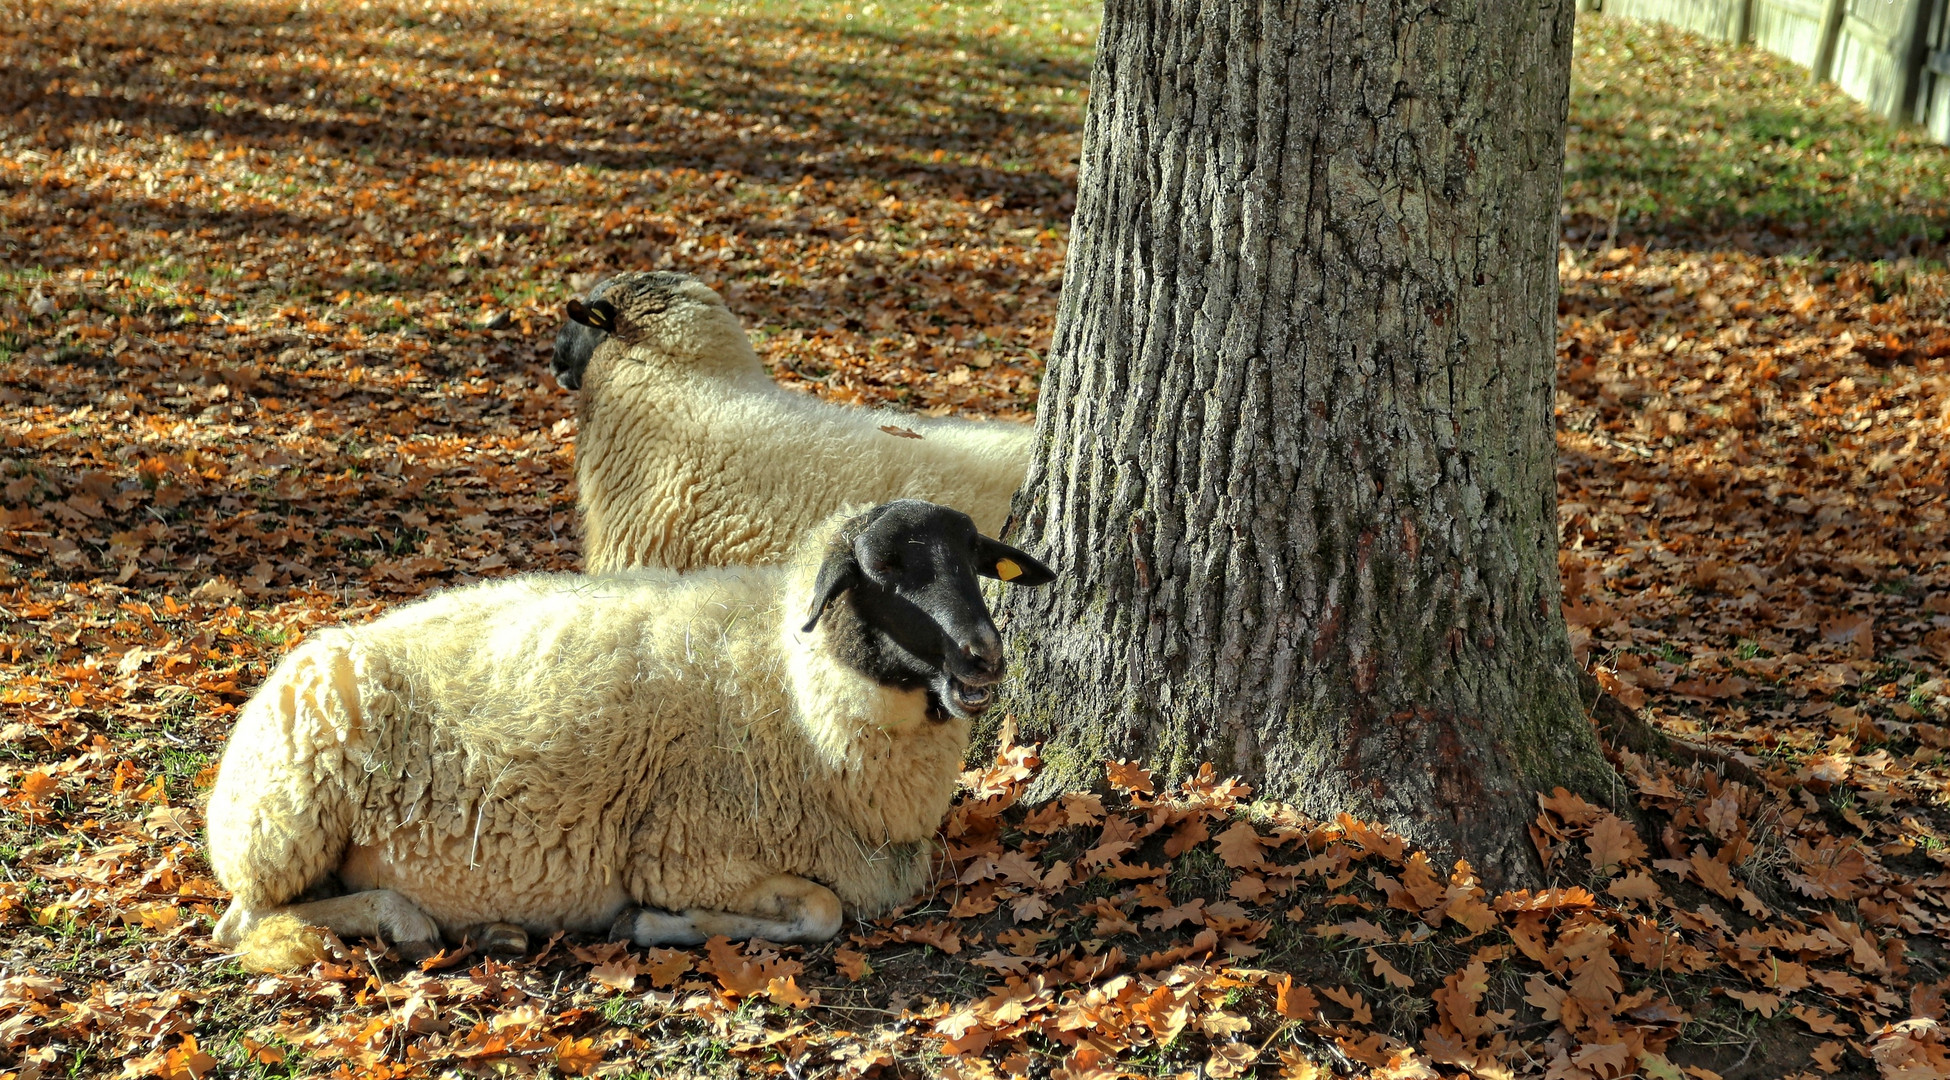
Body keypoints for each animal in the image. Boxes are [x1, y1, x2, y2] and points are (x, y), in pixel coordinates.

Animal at [207, 499, 1060, 966]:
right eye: (885, 574)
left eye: (976, 561)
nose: (983, 657)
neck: (792, 691)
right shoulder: (690, 856)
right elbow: (821, 911)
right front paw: (648, 923)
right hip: (285, 824)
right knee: (245, 919)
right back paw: (408, 923)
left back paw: (492, 933)